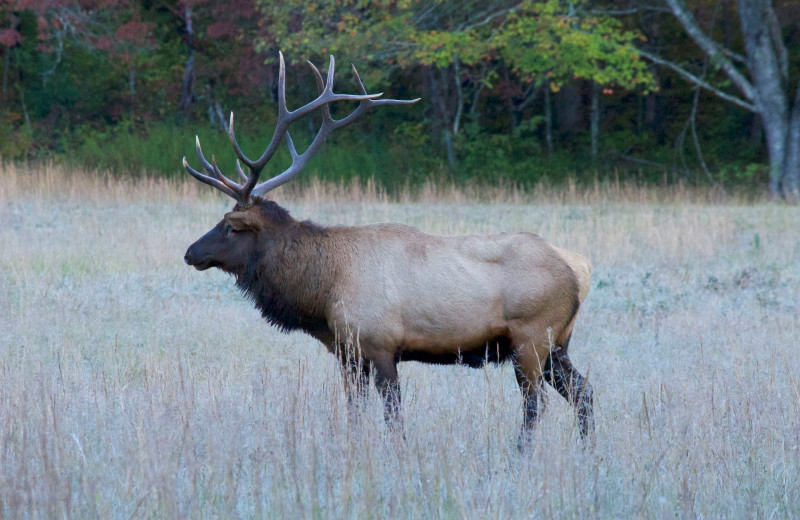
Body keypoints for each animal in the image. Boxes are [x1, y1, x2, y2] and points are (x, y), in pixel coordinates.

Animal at [183, 53, 592, 442]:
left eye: (230, 226)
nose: (189, 252)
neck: (322, 293)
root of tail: (580, 269)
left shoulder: (380, 344)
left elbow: (394, 417)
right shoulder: (348, 354)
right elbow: (354, 413)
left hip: (532, 337)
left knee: (535, 404)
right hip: (558, 344)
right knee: (583, 391)